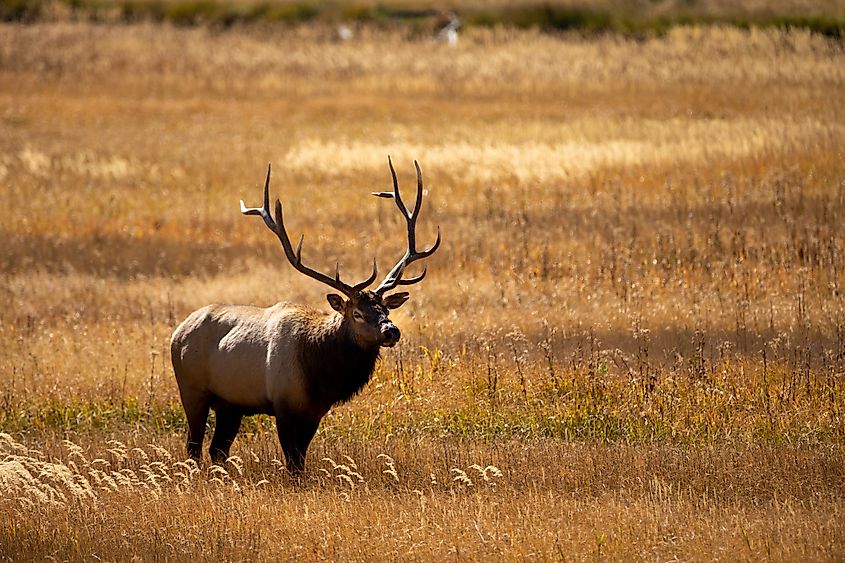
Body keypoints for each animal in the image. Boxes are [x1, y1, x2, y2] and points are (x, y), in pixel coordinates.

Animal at [170, 158, 440, 472]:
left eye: (384, 308)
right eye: (357, 313)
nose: (391, 330)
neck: (320, 374)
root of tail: (177, 332)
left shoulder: (315, 411)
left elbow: (301, 459)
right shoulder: (284, 404)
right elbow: (292, 462)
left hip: (230, 404)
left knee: (218, 449)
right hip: (191, 389)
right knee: (194, 445)